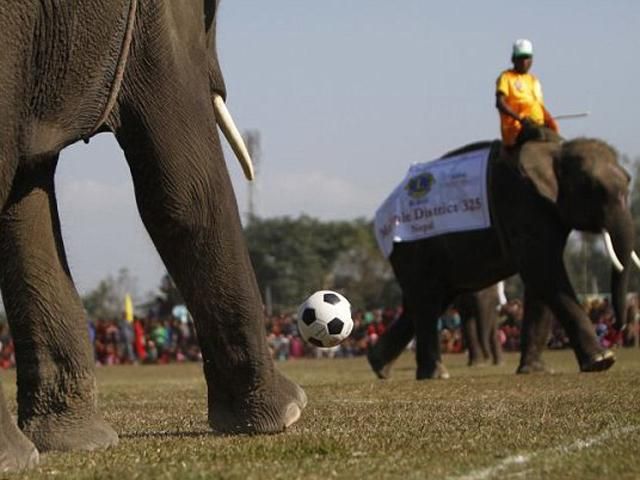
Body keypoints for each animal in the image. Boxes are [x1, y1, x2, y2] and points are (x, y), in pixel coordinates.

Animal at [368, 133, 632, 380]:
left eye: (629, 182)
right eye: (595, 188)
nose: (619, 327)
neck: (555, 149)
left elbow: (539, 278)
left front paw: (536, 371)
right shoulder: (521, 203)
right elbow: (542, 270)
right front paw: (602, 361)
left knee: (426, 301)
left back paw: (379, 365)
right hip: (413, 246)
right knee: (427, 301)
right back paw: (434, 374)